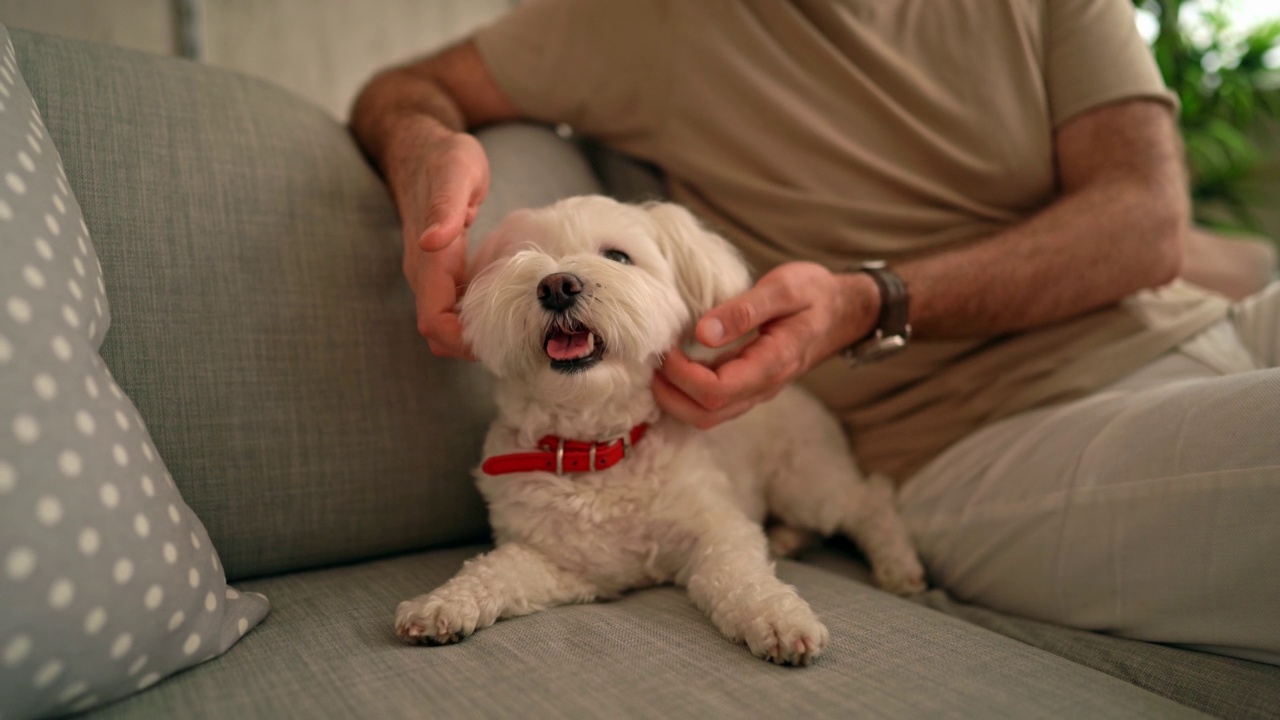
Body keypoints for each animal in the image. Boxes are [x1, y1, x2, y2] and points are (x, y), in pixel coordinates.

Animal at [394, 194, 926, 661]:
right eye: (520, 256)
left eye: (618, 256)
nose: (557, 284)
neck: (596, 447)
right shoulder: (564, 565)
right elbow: (495, 569)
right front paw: (440, 605)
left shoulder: (718, 528)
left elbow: (742, 576)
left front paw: (780, 618)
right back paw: (790, 541)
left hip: (805, 481)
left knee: (870, 501)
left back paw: (900, 569)